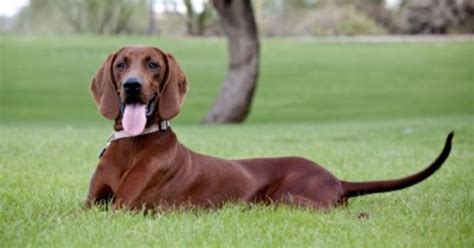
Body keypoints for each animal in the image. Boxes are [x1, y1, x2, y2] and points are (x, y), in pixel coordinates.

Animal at [83, 46, 454, 211]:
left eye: (153, 65)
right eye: (121, 64)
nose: (132, 86)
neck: (132, 144)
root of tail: (336, 178)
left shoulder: (125, 207)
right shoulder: (91, 203)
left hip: (288, 198)